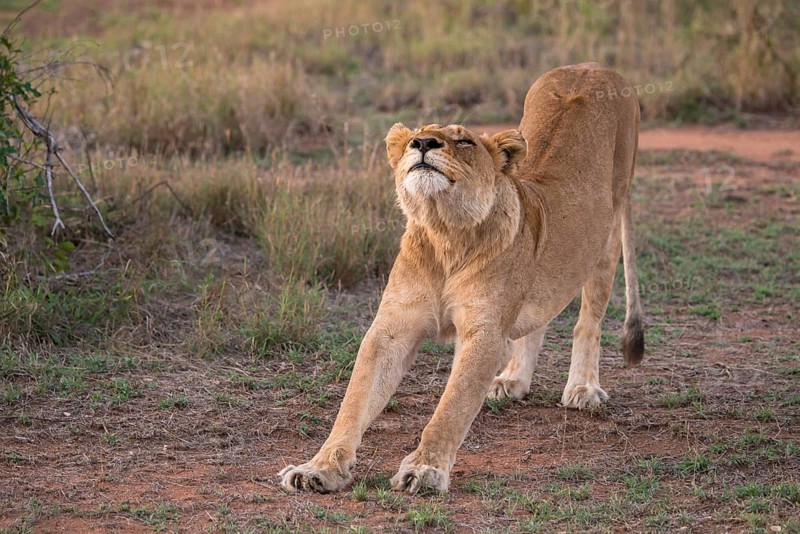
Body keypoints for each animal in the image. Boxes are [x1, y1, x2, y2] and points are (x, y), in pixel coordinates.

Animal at [279, 63, 644, 494]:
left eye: (464, 140)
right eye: (415, 136)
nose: (422, 143)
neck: (446, 235)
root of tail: (591, 66)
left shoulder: (484, 334)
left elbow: (452, 406)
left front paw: (424, 469)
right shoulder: (391, 330)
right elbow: (354, 403)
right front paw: (318, 468)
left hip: (608, 231)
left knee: (588, 319)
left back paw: (583, 388)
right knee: (538, 317)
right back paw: (513, 380)